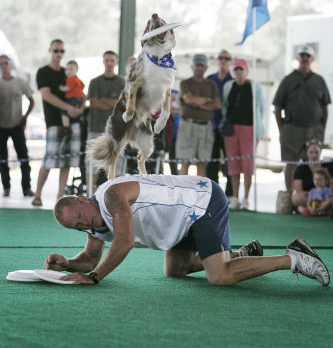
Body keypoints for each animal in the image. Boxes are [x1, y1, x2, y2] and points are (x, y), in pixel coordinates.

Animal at [88, 13, 176, 178]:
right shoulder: (134, 82)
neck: (159, 56)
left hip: (148, 142)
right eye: (149, 23)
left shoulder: (167, 89)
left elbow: (167, 111)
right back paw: (111, 179)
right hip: (117, 138)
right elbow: (131, 100)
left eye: (162, 20)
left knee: (140, 158)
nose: (154, 14)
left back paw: (145, 175)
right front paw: (128, 115)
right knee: (112, 161)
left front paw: (159, 125)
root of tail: (131, 134)